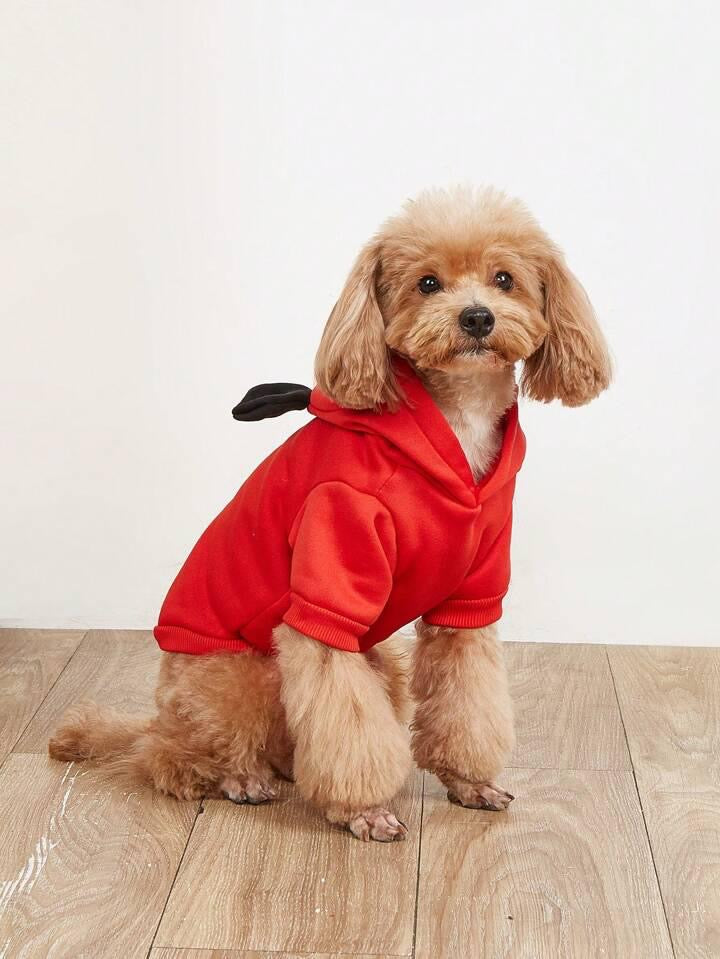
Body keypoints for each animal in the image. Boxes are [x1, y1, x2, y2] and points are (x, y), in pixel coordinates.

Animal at [50, 186, 612, 840]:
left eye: (505, 279)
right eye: (427, 283)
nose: (476, 318)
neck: (454, 421)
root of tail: (156, 714)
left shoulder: (471, 599)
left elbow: (466, 701)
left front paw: (469, 782)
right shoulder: (329, 572)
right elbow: (346, 719)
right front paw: (365, 810)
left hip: (380, 663)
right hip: (240, 676)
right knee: (173, 759)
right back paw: (239, 778)